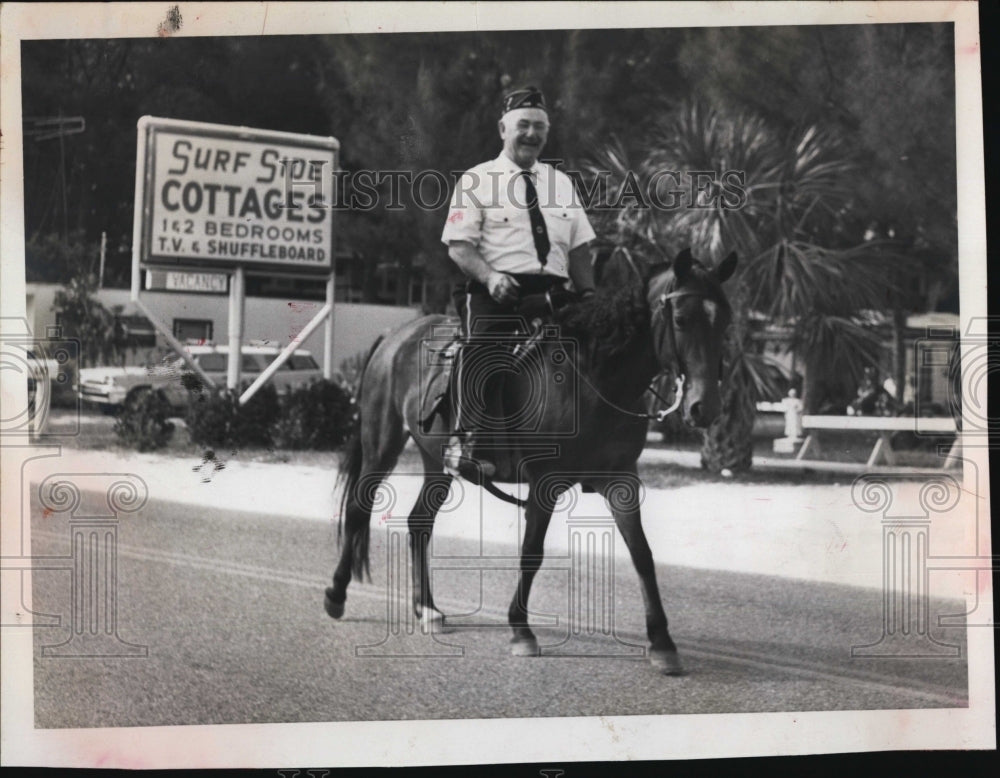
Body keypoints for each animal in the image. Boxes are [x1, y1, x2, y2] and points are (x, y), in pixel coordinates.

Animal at [324, 246, 740, 668]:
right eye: (681, 319)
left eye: (724, 322)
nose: (705, 408)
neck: (595, 380)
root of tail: (396, 335)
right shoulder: (545, 482)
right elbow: (532, 552)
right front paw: (520, 629)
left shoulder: (622, 479)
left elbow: (642, 553)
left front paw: (661, 640)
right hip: (382, 444)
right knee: (358, 509)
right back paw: (337, 595)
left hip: (436, 461)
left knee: (419, 522)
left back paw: (426, 609)